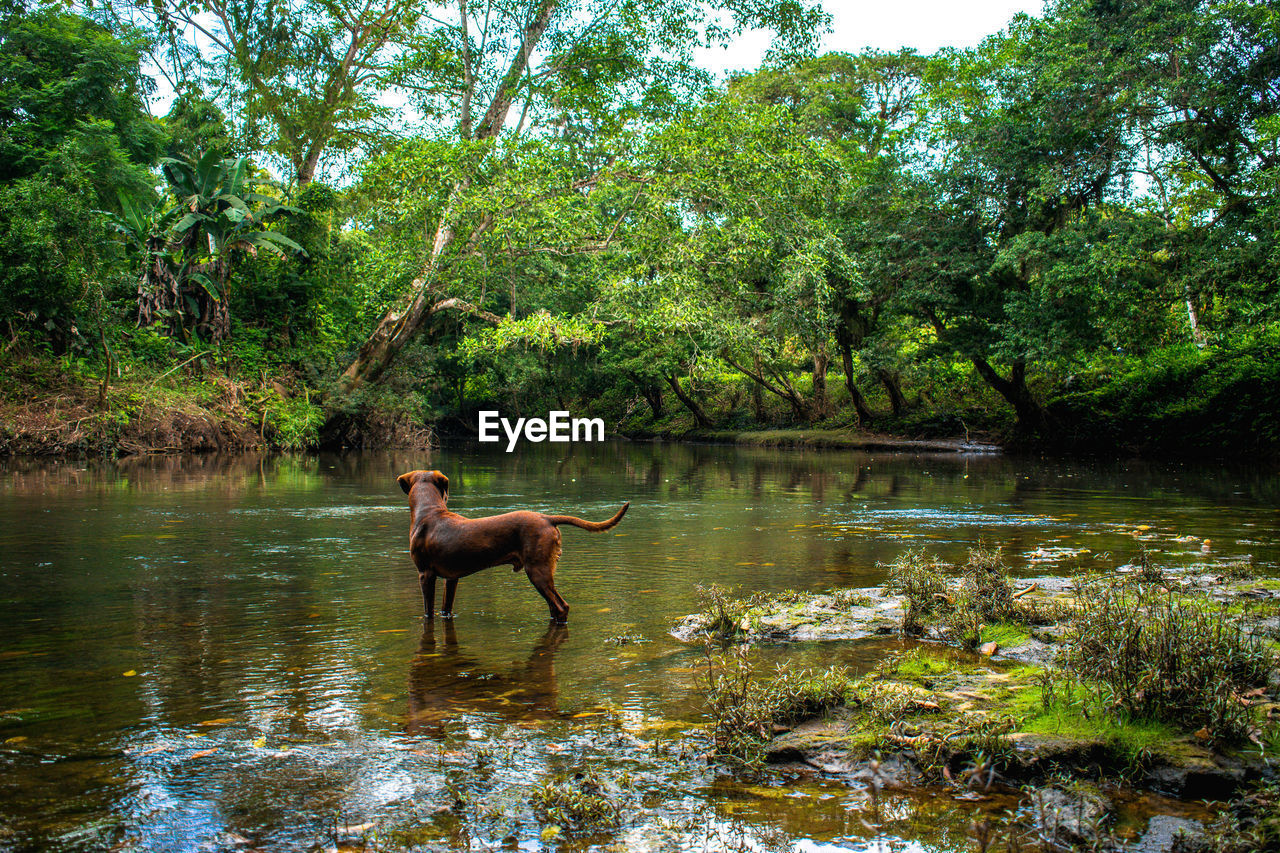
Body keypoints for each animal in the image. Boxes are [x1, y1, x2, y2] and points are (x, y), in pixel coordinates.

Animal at [391, 468, 627, 622]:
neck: (429, 511)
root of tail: (547, 518)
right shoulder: (452, 578)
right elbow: (445, 609)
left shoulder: (425, 574)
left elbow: (428, 611)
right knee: (556, 607)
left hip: (537, 570)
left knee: (561, 607)